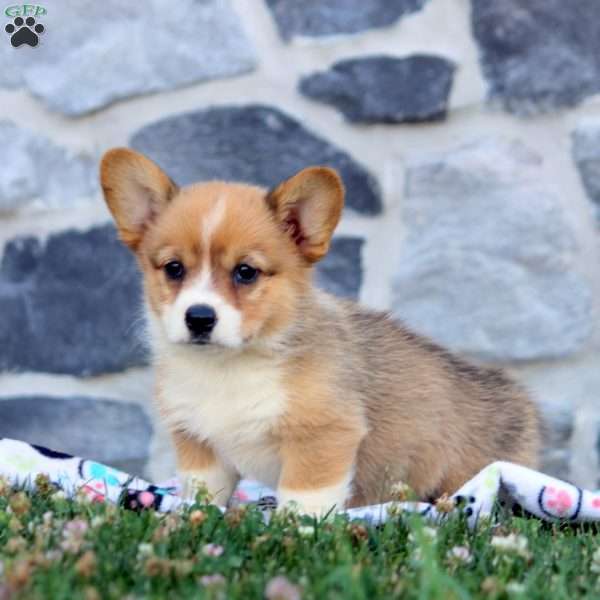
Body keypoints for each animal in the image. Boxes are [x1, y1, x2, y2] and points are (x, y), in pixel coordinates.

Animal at [101, 148, 540, 512]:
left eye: (246, 272)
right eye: (174, 268)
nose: (199, 318)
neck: (229, 368)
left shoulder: (325, 435)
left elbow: (304, 498)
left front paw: (294, 531)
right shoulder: (199, 443)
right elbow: (203, 493)